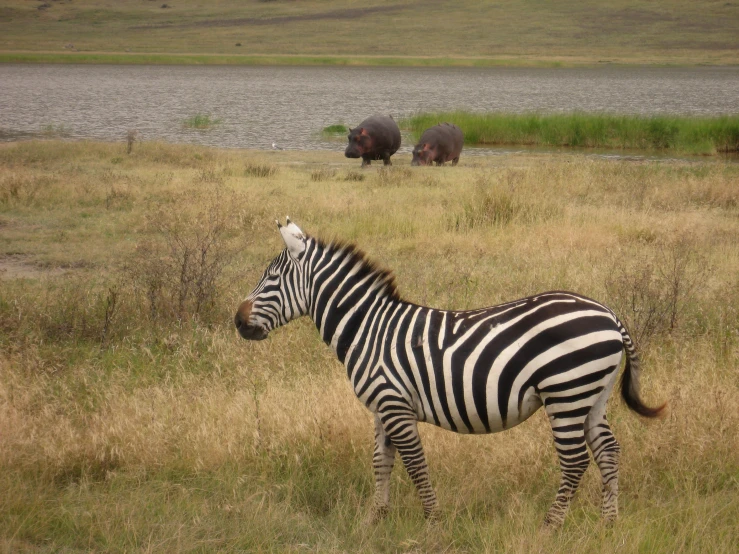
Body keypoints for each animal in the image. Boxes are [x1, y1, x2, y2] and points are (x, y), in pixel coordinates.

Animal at [236, 218, 664, 524]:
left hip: (567, 393)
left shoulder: (395, 405)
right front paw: (374, 521)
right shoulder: (381, 408)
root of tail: (609, 315)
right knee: (608, 451)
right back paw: (609, 523)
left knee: (575, 462)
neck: (368, 329)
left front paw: (433, 523)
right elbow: (381, 461)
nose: (237, 322)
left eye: (270, 278)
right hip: (593, 396)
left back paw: (550, 527)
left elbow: (415, 464)